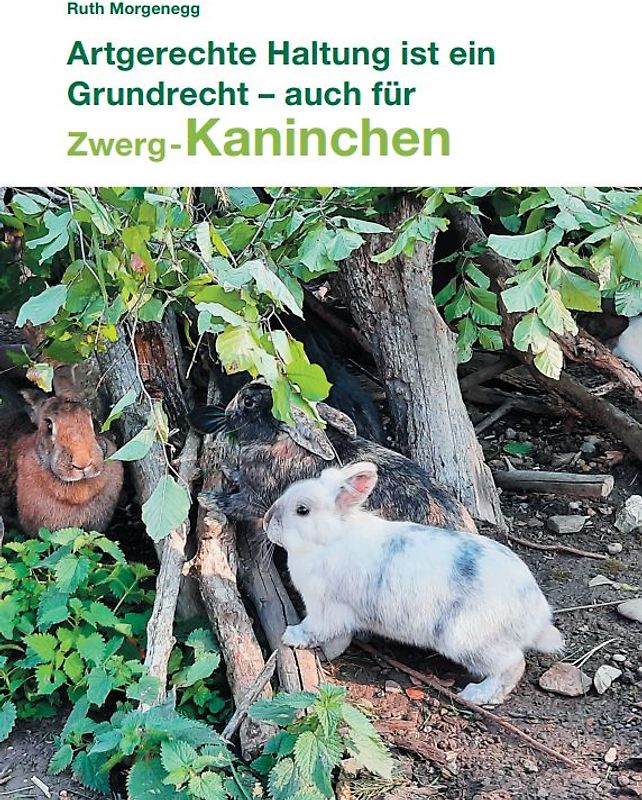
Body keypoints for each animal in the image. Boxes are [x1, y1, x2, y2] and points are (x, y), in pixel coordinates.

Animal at [191, 381, 477, 534]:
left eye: (248, 402)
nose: (228, 412)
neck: (278, 437)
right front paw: (229, 470)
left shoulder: (258, 498)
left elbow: (237, 504)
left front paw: (207, 499)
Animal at [263, 461, 563, 706]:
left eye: (302, 510)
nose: (267, 521)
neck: (329, 539)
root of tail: (536, 616)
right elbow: (340, 639)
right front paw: (327, 655)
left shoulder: (324, 610)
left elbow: (316, 630)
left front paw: (292, 636)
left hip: (467, 639)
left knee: (513, 664)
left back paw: (477, 694)